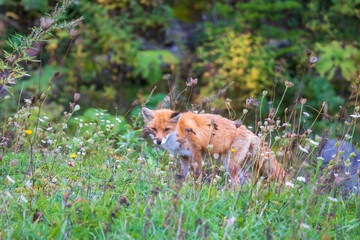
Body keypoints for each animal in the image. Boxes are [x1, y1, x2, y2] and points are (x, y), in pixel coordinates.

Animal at [142, 107, 286, 188]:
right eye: (154, 129)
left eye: (166, 129)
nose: (158, 141)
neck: (180, 131)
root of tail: (249, 132)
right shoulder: (183, 157)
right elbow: (184, 176)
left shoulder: (196, 153)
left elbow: (197, 176)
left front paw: (196, 191)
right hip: (237, 167)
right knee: (247, 183)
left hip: (230, 165)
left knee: (237, 184)